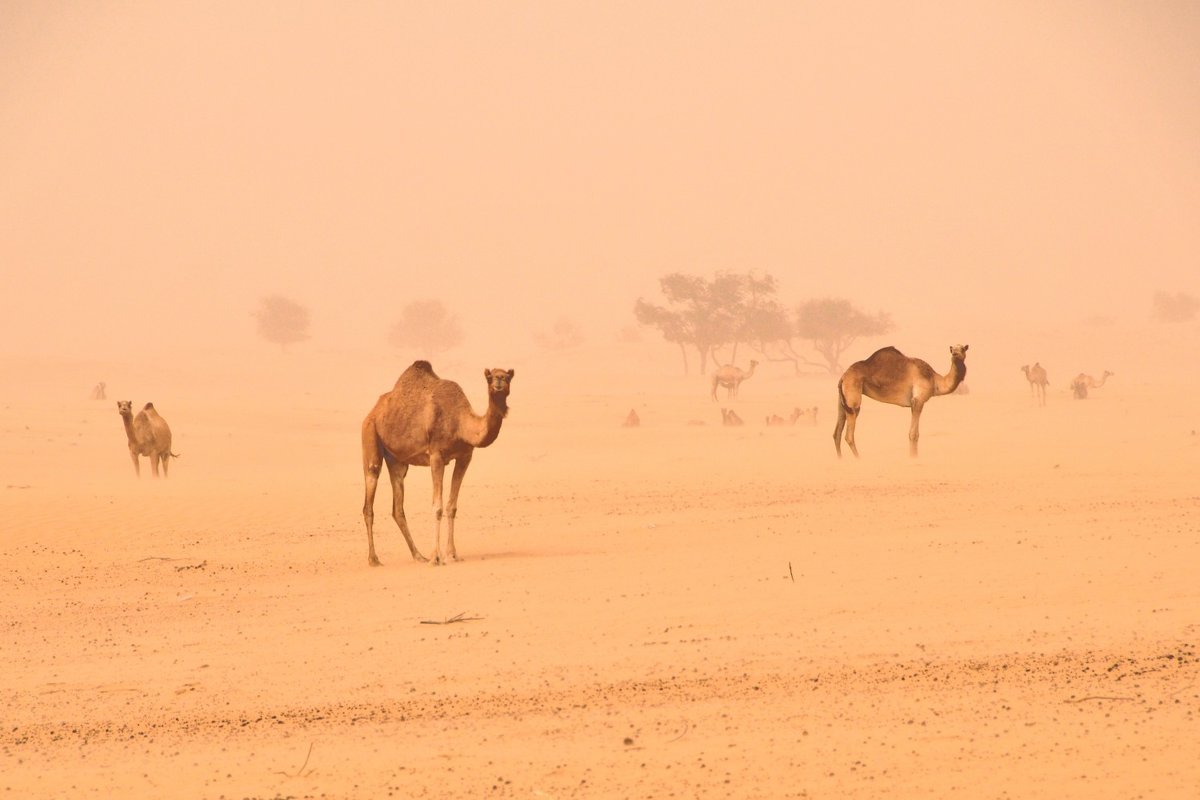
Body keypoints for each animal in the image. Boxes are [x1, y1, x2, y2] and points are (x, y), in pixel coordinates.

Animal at [357, 359, 513, 566]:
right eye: (489, 377)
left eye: (508, 377)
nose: (499, 381)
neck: (460, 423)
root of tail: (373, 411)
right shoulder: (436, 456)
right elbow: (437, 507)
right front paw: (436, 557)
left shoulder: (464, 456)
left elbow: (452, 506)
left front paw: (452, 554)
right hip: (370, 434)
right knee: (369, 497)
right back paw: (374, 559)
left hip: (397, 461)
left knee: (397, 508)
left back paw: (418, 556)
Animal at [830, 343, 969, 455]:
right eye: (952, 350)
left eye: (962, 349)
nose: (955, 354)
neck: (935, 381)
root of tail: (843, 377)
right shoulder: (918, 400)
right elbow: (913, 434)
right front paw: (913, 458)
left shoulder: (914, 403)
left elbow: (914, 434)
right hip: (853, 395)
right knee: (849, 434)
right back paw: (858, 459)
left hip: (842, 399)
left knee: (837, 432)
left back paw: (840, 460)